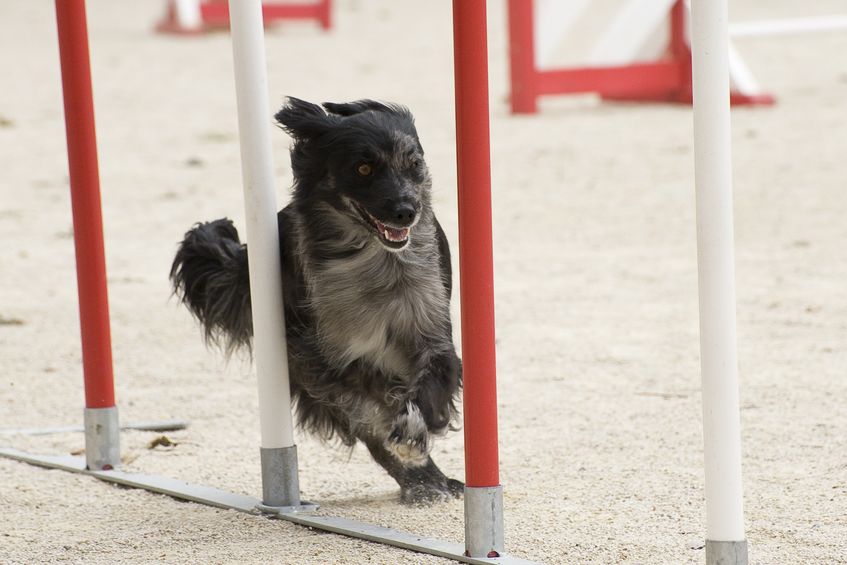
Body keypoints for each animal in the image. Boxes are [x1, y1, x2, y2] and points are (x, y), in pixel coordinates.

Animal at [171, 97, 464, 502]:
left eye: (414, 163)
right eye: (363, 167)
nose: (407, 211)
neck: (373, 262)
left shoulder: (430, 327)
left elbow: (434, 379)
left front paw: (418, 426)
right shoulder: (319, 358)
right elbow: (367, 409)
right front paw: (406, 442)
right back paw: (421, 480)